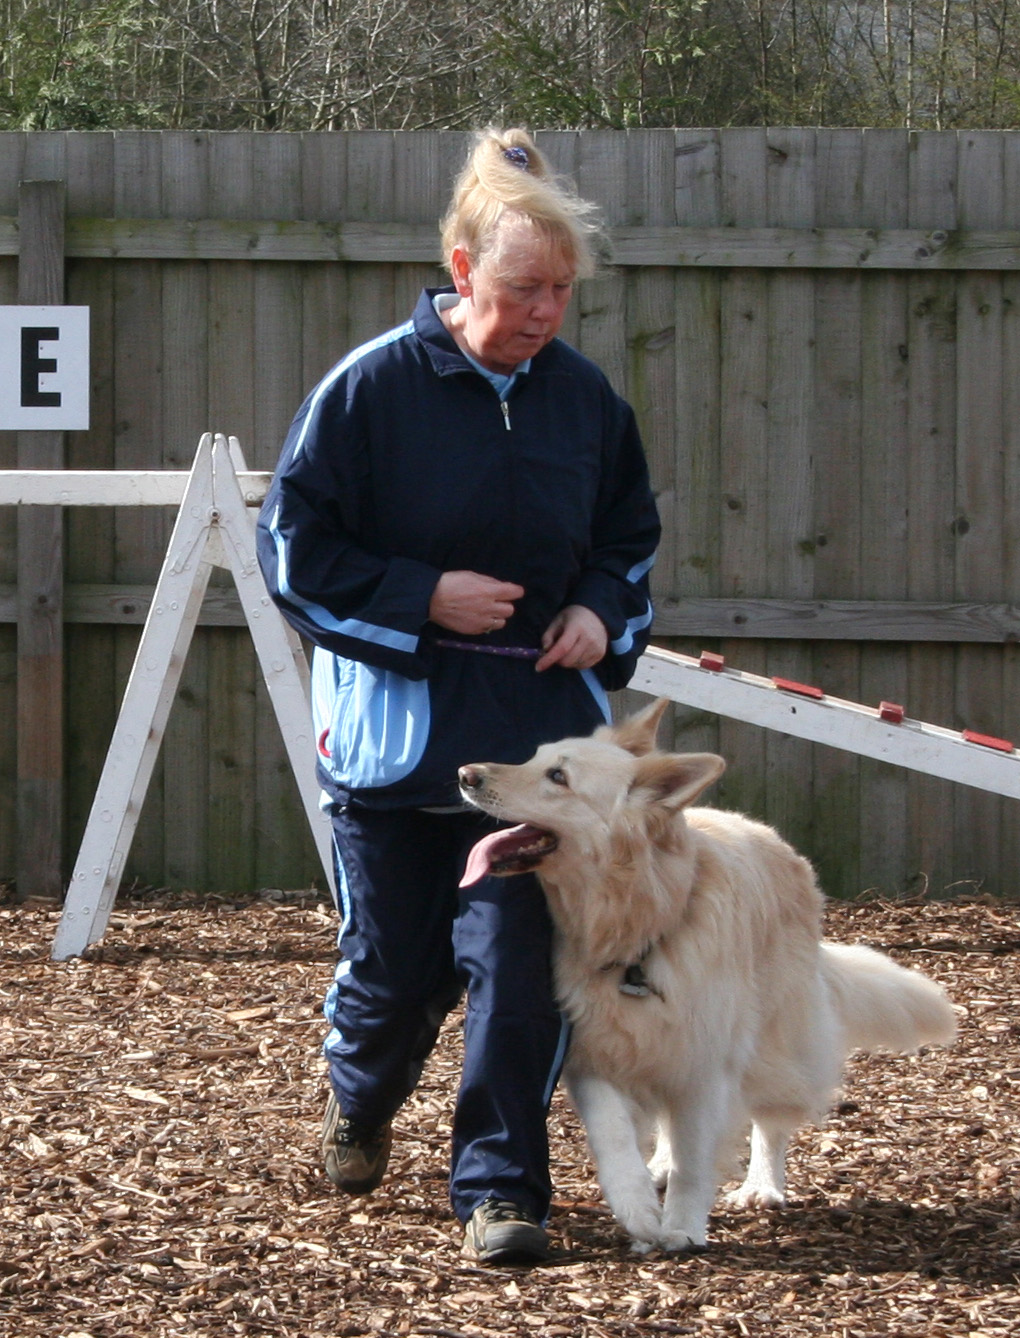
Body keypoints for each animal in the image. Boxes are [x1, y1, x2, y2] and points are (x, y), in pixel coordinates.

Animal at [460, 701, 953, 1252]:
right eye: (534, 757)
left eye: (558, 776)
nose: (464, 774)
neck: (641, 931)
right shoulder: (595, 1055)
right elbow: (615, 1139)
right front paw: (638, 1210)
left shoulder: (705, 1066)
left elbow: (695, 1159)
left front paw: (682, 1226)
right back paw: (659, 1167)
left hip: (772, 1039)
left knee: (770, 1119)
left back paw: (761, 1185)